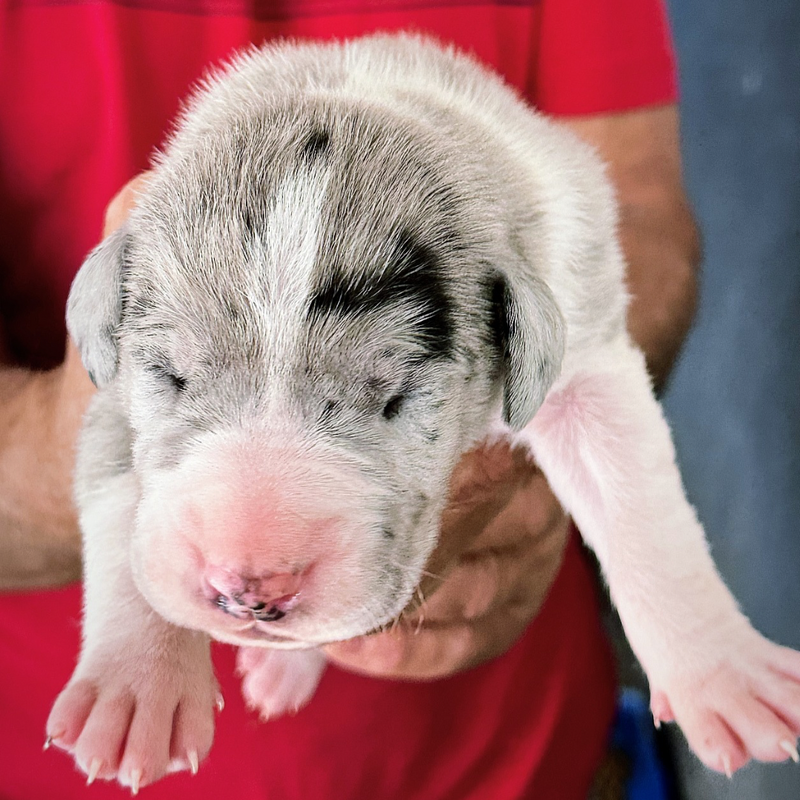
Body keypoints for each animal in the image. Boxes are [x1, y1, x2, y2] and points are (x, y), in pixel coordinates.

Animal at [48, 34, 800, 792]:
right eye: (169, 375)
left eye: (396, 399)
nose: (252, 588)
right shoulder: (108, 391)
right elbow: (118, 500)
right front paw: (136, 689)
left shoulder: (585, 350)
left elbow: (640, 513)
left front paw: (724, 675)